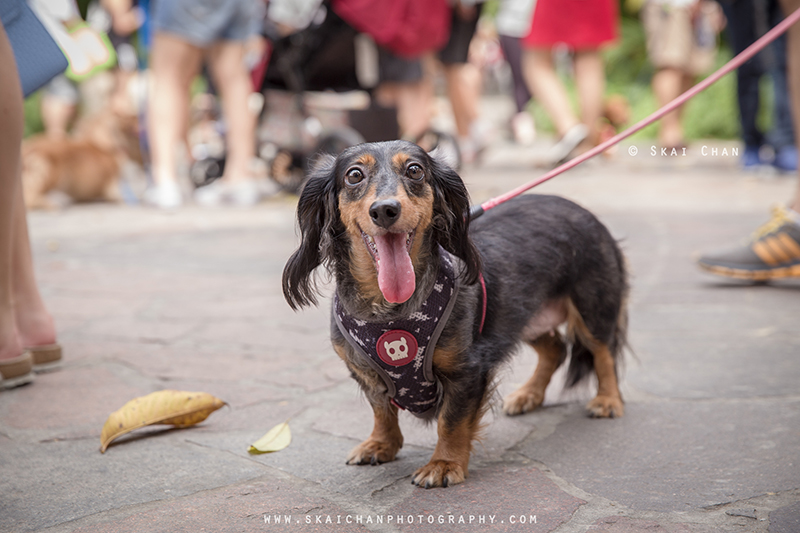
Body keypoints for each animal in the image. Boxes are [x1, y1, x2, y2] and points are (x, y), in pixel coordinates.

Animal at [284, 140, 628, 486]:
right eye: (354, 175)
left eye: (415, 170)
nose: (384, 210)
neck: (391, 312)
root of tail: (578, 208)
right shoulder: (363, 372)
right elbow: (381, 410)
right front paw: (381, 444)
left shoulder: (468, 370)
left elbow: (451, 421)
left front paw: (444, 464)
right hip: (522, 317)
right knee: (555, 349)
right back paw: (528, 395)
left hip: (592, 307)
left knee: (603, 352)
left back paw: (608, 400)